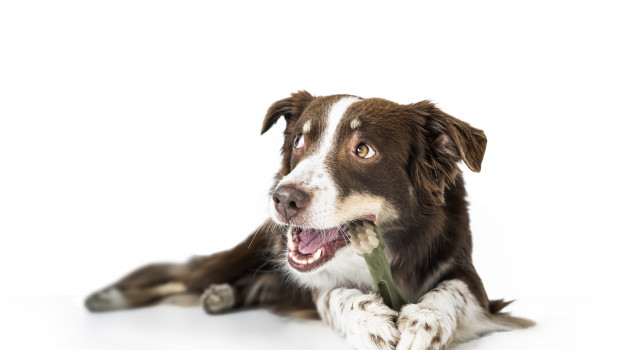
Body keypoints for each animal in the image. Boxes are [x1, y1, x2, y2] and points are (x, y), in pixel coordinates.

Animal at [86, 91, 532, 348]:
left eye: (364, 149)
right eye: (299, 140)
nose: (283, 199)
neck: (391, 247)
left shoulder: (471, 279)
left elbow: (450, 291)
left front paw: (424, 321)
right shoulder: (318, 284)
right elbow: (335, 294)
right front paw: (370, 318)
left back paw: (222, 297)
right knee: (182, 275)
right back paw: (109, 297)